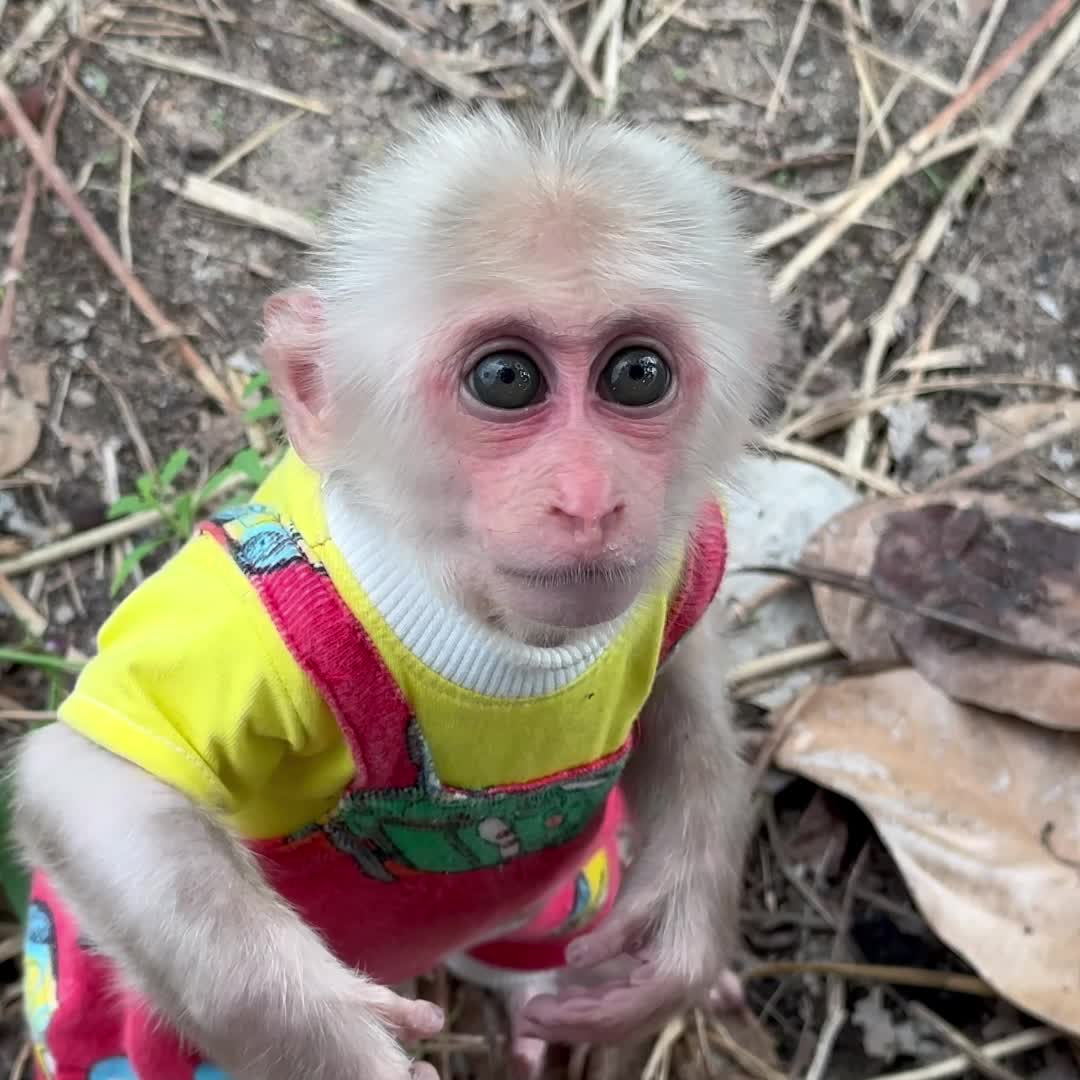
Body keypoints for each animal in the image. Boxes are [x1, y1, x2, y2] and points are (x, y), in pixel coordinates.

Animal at [13, 105, 777, 1080]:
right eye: (506, 378)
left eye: (637, 374)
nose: (589, 497)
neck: (481, 630)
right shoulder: (243, 632)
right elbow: (89, 784)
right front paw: (331, 1042)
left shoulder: (679, 562)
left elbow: (680, 680)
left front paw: (686, 923)